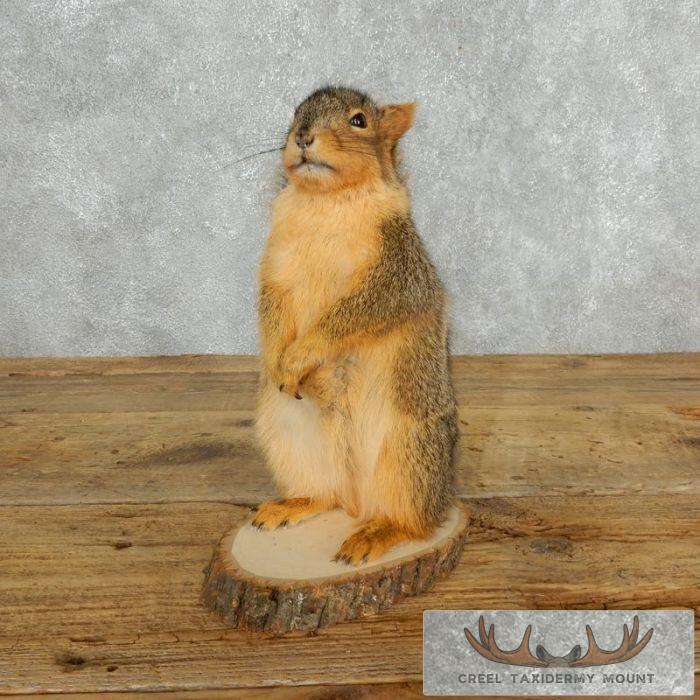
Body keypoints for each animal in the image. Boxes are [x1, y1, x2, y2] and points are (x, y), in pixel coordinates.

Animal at [253, 86, 457, 566]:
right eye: (295, 114)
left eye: (359, 121)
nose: (303, 136)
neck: (326, 201)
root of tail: (356, 501)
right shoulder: (275, 267)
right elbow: (270, 308)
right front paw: (277, 361)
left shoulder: (396, 271)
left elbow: (356, 314)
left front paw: (300, 356)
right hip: (286, 432)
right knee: (323, 494)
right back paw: (294, 504)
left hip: (408, 450)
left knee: (415, 522)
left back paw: (377, 533)